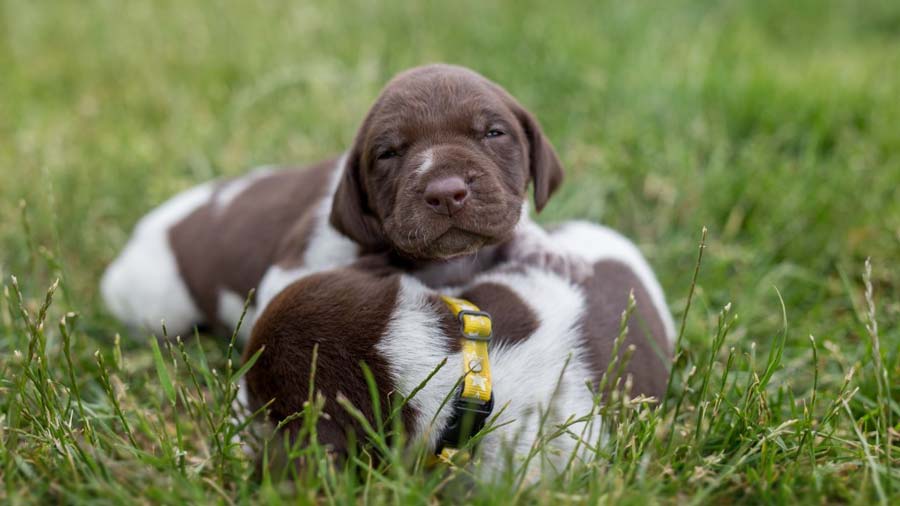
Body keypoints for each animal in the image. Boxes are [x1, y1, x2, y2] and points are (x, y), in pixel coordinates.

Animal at [100, 64, 576, 340]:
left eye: (494, 133)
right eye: (388, 153)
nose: (446, 192)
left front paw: (549, 253)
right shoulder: (291, 273)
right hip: (158, 304)